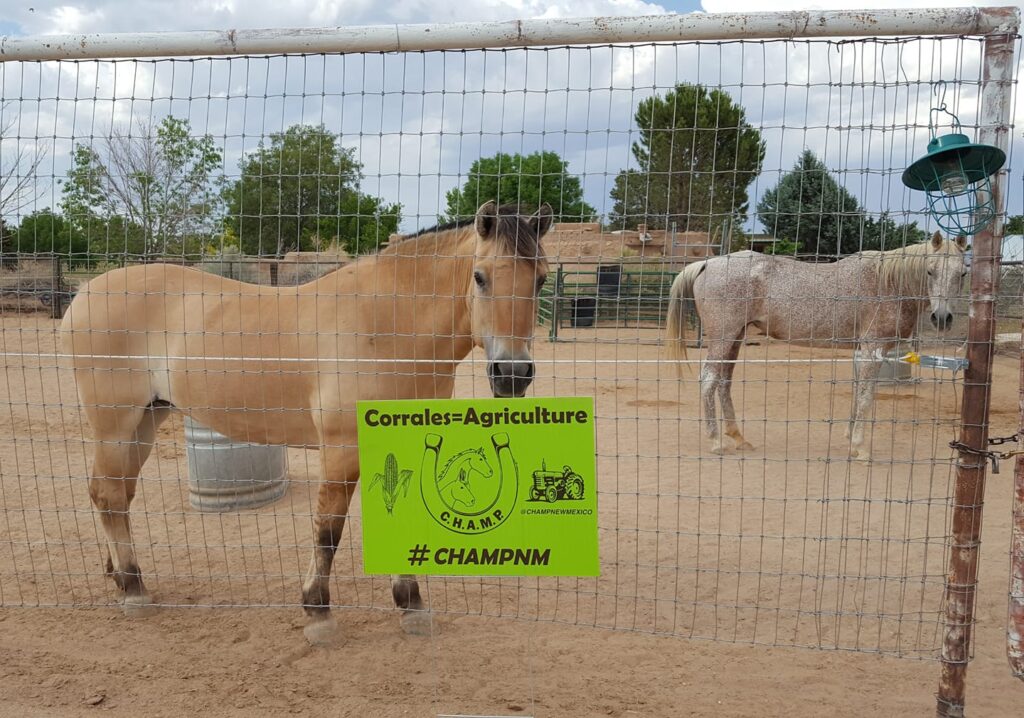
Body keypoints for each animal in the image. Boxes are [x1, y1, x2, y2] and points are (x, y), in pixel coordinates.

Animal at [60, 200, 552, 642]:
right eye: (480, 277)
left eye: (542, 279)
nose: (511, 373)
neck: (387, 323)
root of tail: (85, 293)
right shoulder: (341, 452)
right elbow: (327, 530)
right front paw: (318, 613)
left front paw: (411, 605)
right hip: (116, 425)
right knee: (108, 494)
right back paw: (133, 590)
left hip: (146, 421)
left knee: (117, 495)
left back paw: (119, 575)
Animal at [665, 232, 967, 461]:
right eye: (930, 270)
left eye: (962, 274)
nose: (942, 318)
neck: (888, 282)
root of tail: (707, 263)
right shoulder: (873, 349)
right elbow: (866, 397)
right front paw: (860, 448)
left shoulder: (862, 351)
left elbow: (858, 392)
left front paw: (850, 437)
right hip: (723, 338)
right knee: (708, 380)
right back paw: (716, 441)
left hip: (735, 338)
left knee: (724, 382)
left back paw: (738, 437)